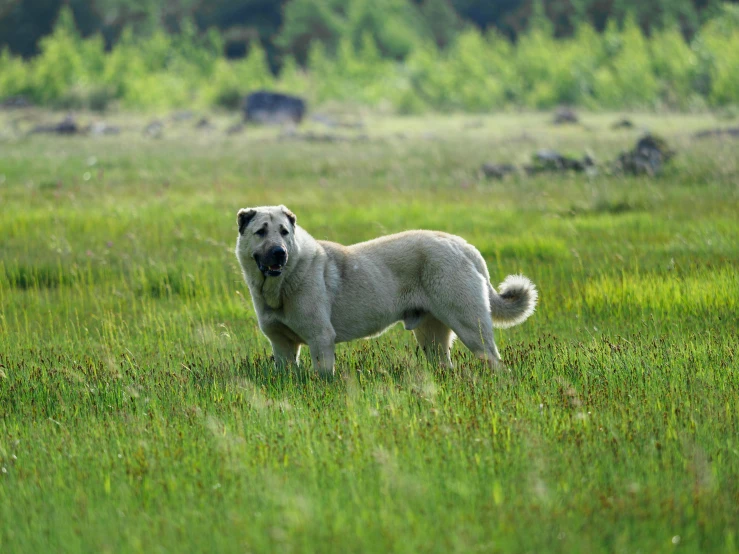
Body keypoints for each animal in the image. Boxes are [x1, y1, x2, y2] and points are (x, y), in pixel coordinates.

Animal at [237, 205, 536, 374]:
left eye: (284, 232)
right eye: (261, 232)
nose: (279, 253)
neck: (282, 284)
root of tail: (461, 244)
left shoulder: (320, 339)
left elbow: (322, 375)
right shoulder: (281, 346)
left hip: (472, 329)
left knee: (495, 363)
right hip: (431, 336)